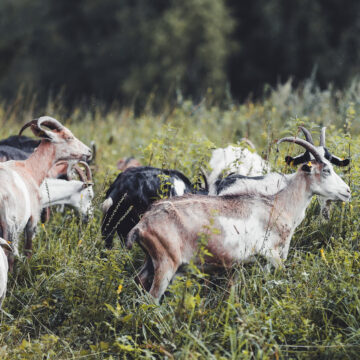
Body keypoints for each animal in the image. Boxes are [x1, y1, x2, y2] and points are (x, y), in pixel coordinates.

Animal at [0, 116, 91, 262]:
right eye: (69, 137)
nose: (88, 151)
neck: (29, 168)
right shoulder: (32, 219)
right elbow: (28, 251)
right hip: (10, 229)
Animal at [125, 138, 350, 300]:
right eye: (326, 170)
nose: (347, 191)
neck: (278, 204)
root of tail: (141, 225)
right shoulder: (271, 254)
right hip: (166, 264)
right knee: (152, 297)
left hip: (151, 261)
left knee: (139, 280)